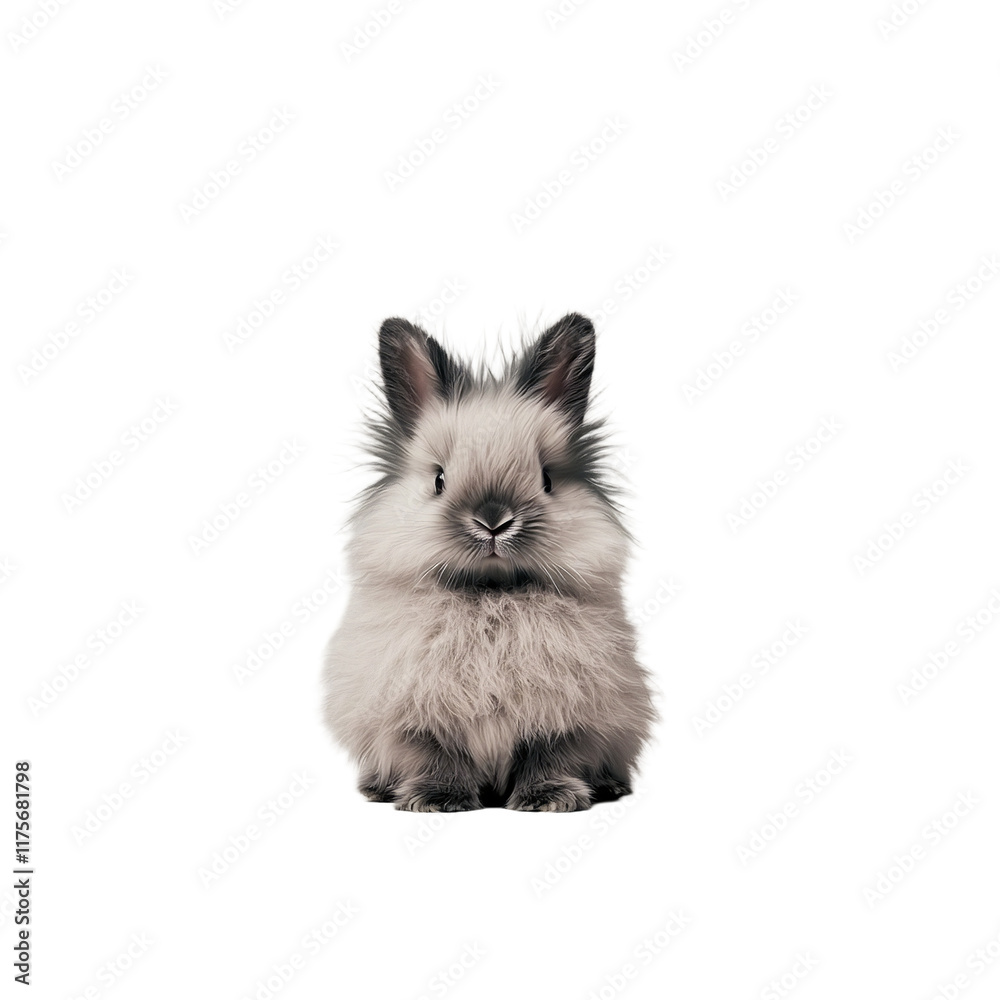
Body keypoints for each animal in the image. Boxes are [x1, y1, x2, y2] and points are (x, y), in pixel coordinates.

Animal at [322, 313, 656, 811]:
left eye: (547, 479)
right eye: (439, 480)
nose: (494, 520)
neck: (490, 594)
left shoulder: (570, 717)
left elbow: (550, 754)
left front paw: (548, 799)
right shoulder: (413, 715)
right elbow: (435, 755)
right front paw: (437, 799)